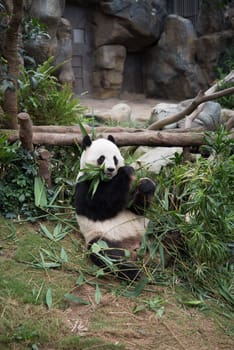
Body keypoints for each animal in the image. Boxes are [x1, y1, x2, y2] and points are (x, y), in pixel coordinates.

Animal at [74, 135, 155, 280]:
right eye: (101, 158)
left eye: (115, 158)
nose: (111, 169)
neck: (106, 179)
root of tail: (135, 246)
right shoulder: (85, 185)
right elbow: (101, 206)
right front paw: (127, 171)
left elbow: (137, 208)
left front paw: (146, 185)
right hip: (103, 237)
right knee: (108, 255)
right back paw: (133, 272)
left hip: (148, 230)